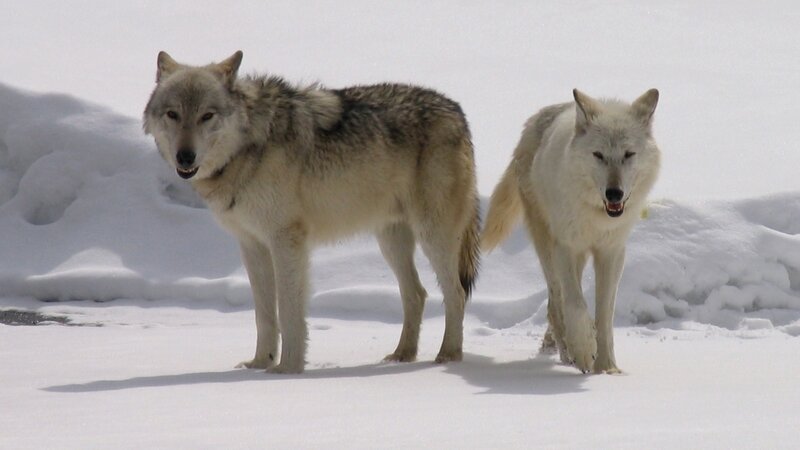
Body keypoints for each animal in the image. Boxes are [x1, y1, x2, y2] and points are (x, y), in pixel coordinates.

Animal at [143, 51, 480, 373]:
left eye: (206, 116)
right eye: (173, 114)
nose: (185, 156)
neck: (248, 146)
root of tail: (458, 112)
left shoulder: (286, 240)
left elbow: (289, 310)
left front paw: (287, 369)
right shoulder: (252, 245)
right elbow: (264, 314)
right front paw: (259, 363)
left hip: (432, 237)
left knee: (456, 293)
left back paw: (448, 355)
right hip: (391, 242)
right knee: (417, 294)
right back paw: (402, 355)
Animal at [481, 89, 660, 374]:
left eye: (628, 154)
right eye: (598, 155)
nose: (614, 193)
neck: (596, 215)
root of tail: (533, 122)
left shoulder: (611, 253)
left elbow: (605, 316)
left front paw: (607, 368)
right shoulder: (566, 247)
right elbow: (576, 304)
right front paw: (585, 351)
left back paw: (556, 346)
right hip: (547, 245)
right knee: (556, 302)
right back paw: (567, 352)